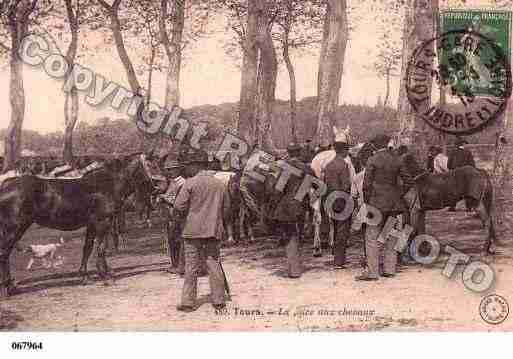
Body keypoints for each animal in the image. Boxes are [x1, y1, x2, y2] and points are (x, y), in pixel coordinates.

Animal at [0, 153, 156, 296]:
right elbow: (101, 248)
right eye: (152, 165)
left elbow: (88, 248)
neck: (107, 185)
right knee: (4, 253)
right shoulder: (103, 222)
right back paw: (10, 288)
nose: (159, 188)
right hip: (15, 228)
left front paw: (84, 276)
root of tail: (6, 186)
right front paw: (106, 277)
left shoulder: (92, 224)